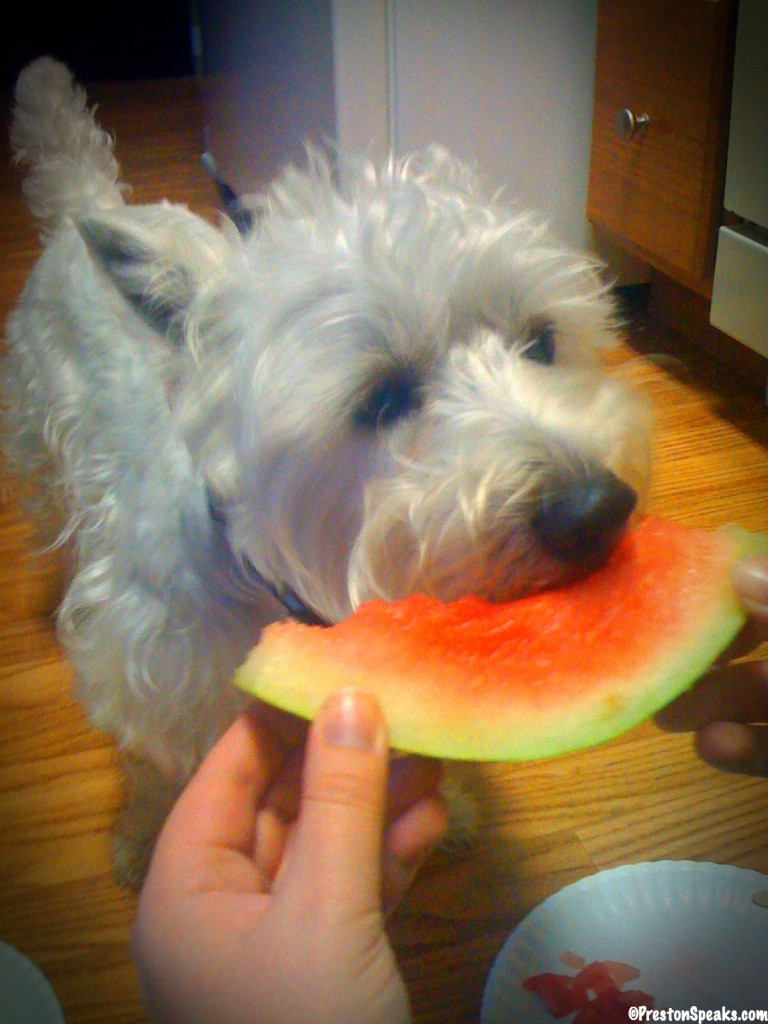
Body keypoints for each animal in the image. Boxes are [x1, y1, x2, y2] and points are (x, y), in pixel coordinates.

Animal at [1, 59, 651, 884]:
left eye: (540, 342)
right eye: (381, 398)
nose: (597, 507)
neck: (281, 588)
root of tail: (90, 206)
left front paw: (452, 806)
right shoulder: (155, 668)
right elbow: (156, 762)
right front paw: (149, 837)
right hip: (38, 434)